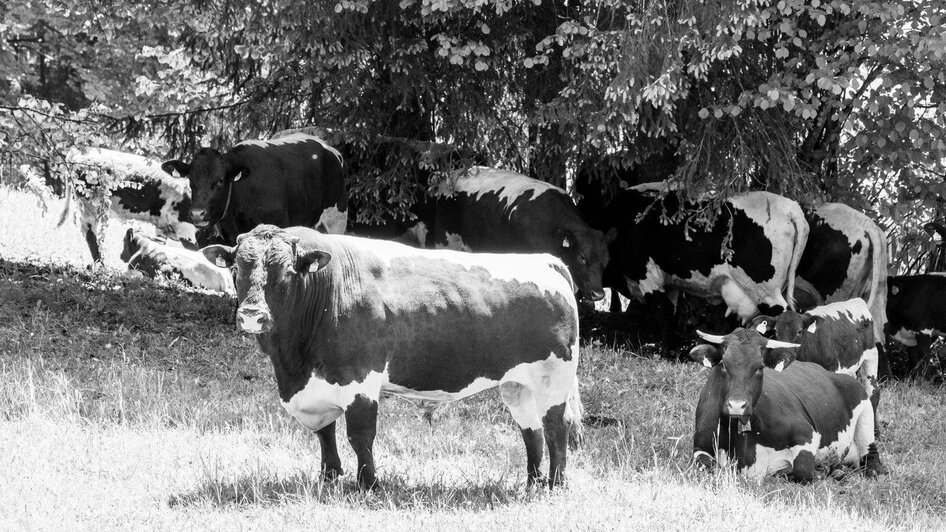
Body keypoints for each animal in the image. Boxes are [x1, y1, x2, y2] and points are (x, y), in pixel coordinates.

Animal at [58, 148, 197, 264]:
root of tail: (78, 152)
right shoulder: (186, 229)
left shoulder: (162, 226)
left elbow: (159, 244)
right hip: (89, 204)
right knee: (89, 231)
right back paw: (100, 264)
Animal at [203, 224, 580, 490]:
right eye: (236, 269)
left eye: (285, 272)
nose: (251, 315)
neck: (292, 361)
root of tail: (545, 260)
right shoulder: (315, 385)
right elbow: (325, 432)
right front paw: (329, 476)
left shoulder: (360, 378)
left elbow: (359, 435)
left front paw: (368, 484)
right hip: (517, 385)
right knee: (530, 430)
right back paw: (533, 481)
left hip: (553, 378)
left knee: (555, 427)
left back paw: (555, 484)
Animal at [684, 326, 884, 480]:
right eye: (724, 364)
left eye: (760, 367)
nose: (736, 406)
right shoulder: (700, 446)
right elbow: (708, 465)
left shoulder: (807, 433)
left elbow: (801, 469)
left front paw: (818, 471)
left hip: (866, 415)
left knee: (870, 456)